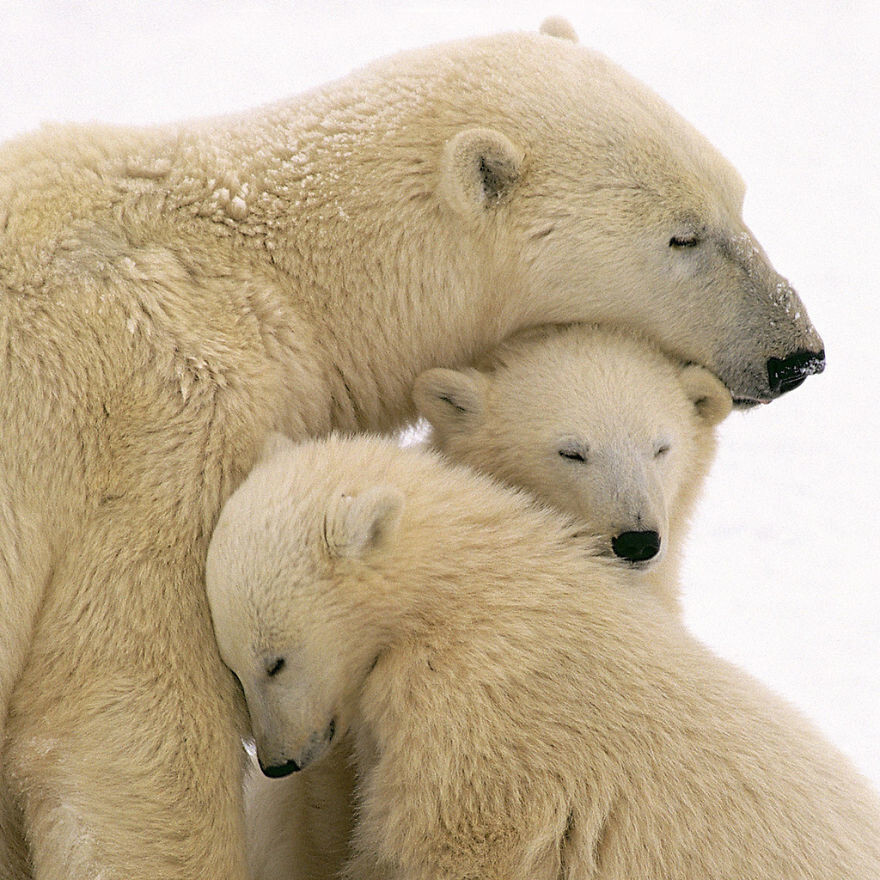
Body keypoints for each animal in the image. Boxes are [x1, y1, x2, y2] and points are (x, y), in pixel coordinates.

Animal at [208, 434, 880, 880]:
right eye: (233, 668)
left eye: (275, 661)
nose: (276, 762)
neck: (462, 591)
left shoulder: (475, 719)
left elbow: (446, 842)